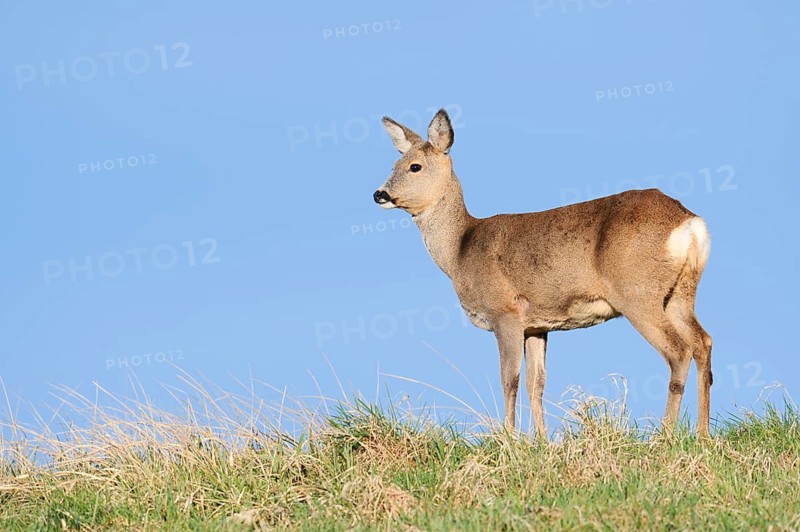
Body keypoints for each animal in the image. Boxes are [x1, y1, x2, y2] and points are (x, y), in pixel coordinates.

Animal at [373, 109, 713, 437]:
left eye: (414, 166)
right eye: (394, 163)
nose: (379, 194)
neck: (460, 249)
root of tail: (689, 222)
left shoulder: (506, 312)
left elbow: (509, 379)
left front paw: (508, 438)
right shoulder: (536, 325)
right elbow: (536, 384)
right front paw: (541, 441)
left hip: (637, 292)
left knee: (679, 350)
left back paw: (666, 435)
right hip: (680, 293)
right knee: (703, 342)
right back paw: (703, 434)